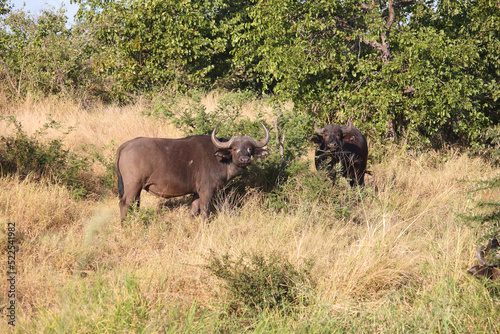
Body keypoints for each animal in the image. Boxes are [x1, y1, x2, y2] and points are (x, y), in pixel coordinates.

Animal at [114, 122, 270, 222]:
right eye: (235, 149)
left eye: (250, 149)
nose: (245, 160)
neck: (220, 159)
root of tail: (125, 145)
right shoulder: (207, 191)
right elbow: (205, 210)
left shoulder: (196, 192)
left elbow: (194, 210)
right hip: (132, 186)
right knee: (124, 204)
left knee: (135, 204)